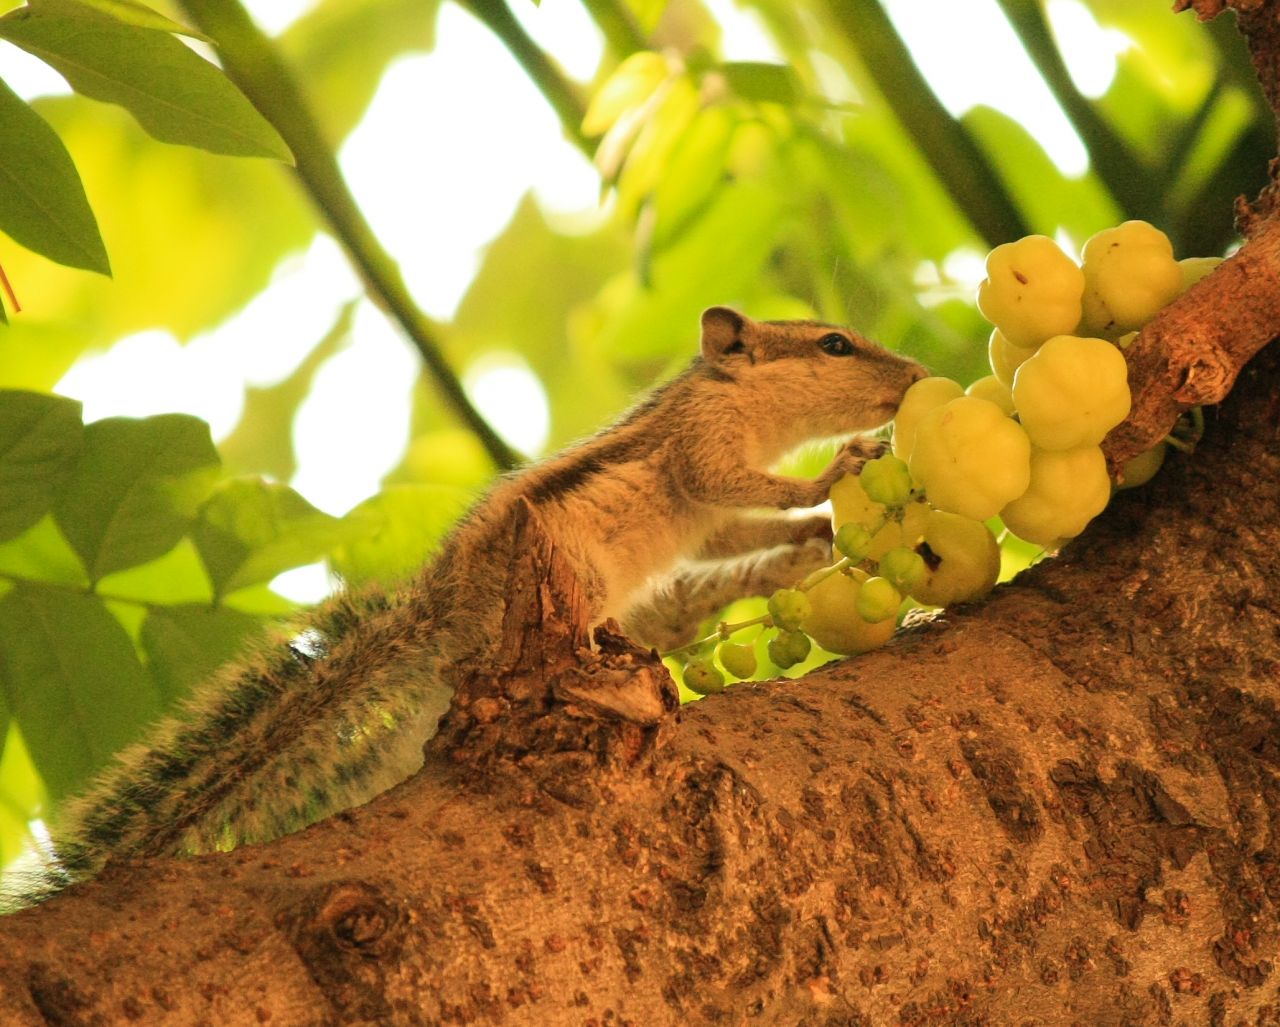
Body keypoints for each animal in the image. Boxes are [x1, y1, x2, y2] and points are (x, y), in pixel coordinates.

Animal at [37, 304, 921, 886]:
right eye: (834, 344)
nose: (915, 376)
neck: (744, 405)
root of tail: (438, 610)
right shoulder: (699, 446)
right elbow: (731, 483)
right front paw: (833, 476)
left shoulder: (705, 526)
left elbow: (733, 529)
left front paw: (816, 531)